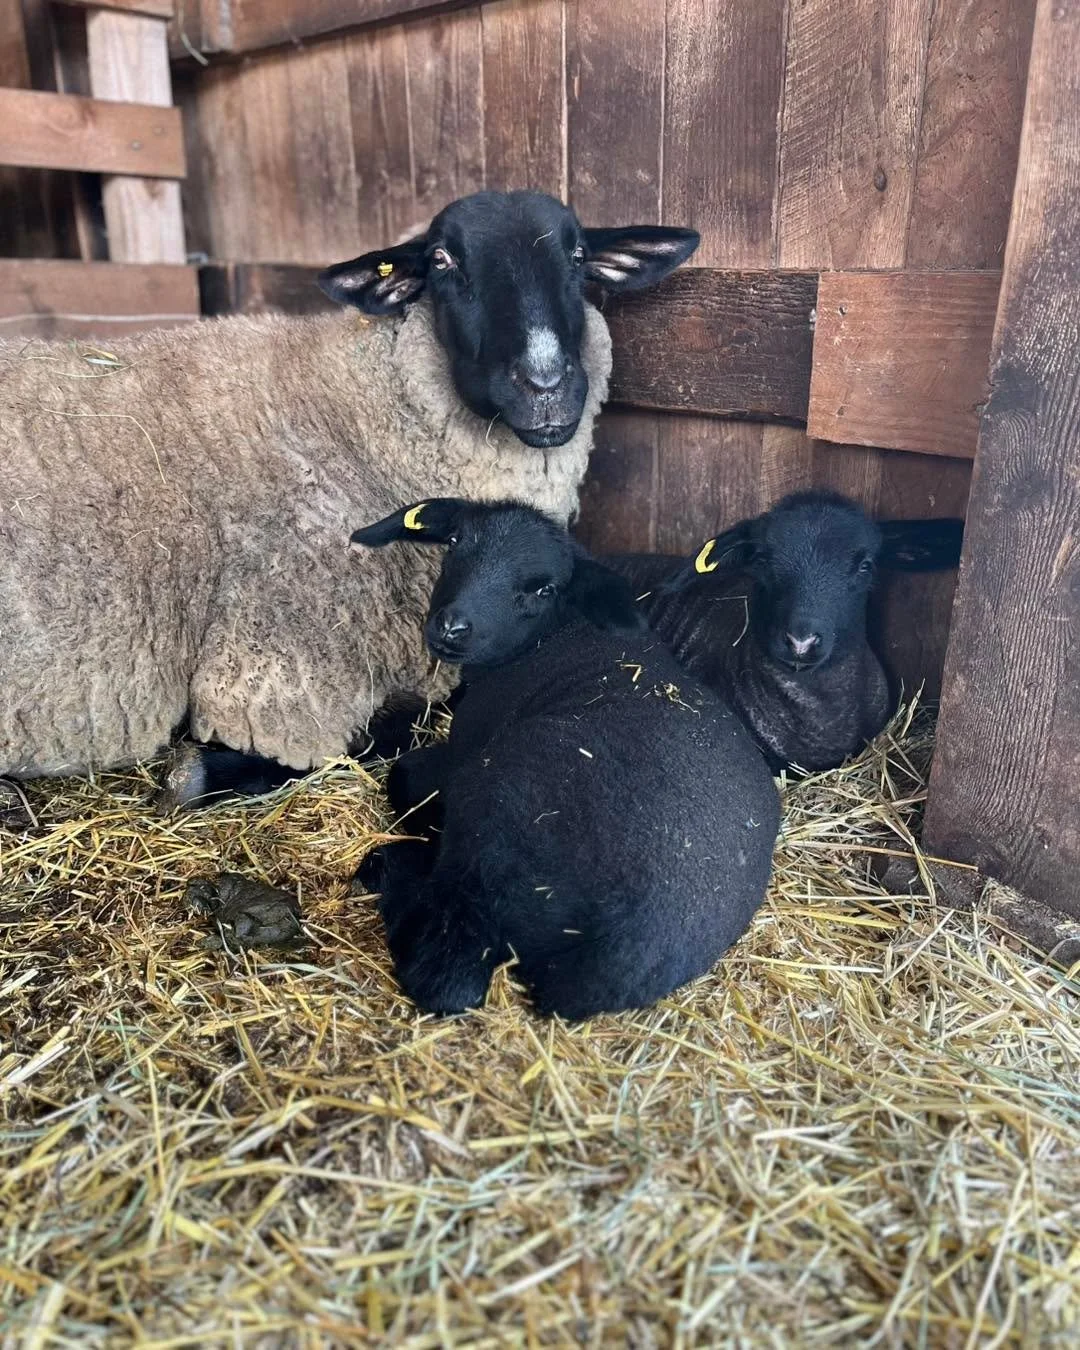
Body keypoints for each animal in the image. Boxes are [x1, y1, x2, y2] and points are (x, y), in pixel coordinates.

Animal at [0, 190, 699, 798]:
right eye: (442, 261)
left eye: (578, 254)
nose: (547, 383)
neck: (350, 414)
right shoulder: (274, 669)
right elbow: (355, 741)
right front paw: (196, 772)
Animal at [349, 496, 781, 1020]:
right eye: (454, 542)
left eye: (544, 588)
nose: (452, 627)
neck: (556, 634)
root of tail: (613, 951)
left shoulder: (466, 751)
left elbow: (404, 775)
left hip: (497, 813)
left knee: (450, 976)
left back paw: (388, 869)